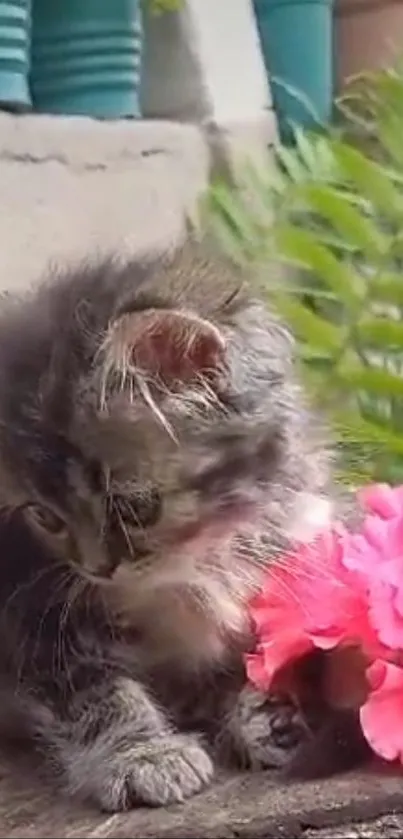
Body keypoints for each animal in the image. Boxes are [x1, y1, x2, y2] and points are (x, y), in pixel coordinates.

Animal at [0, 238, 334, 812]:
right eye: (44, 517)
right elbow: (94, 690)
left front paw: (268, 713)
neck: (193, 563)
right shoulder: (28, 612)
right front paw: (143, 755)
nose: (97, 569)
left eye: (134, 506)